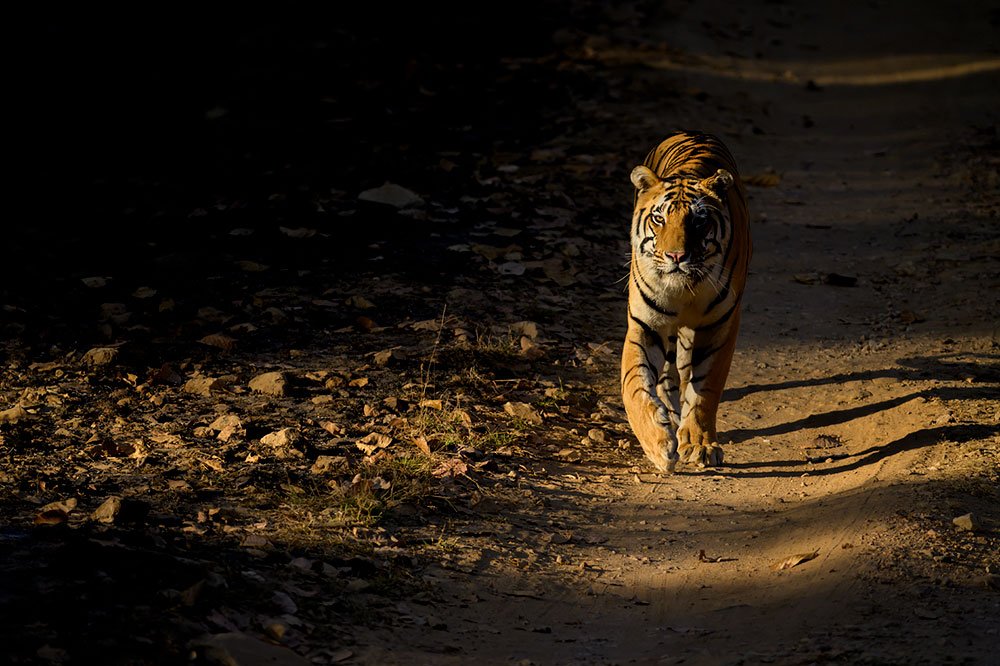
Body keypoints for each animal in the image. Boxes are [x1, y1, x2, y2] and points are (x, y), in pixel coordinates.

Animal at [621, 131, 751, 472]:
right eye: (658, 219)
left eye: (698, 221)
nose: (675, 256)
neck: (684, 290)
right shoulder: (645, 325)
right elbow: (634, 385)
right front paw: (658, 443)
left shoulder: (720, 325)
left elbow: (705, 388)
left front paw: (700, 444)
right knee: (667, 375)